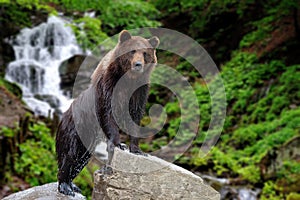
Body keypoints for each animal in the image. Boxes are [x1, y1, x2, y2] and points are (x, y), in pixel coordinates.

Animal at [56, 30, 159, 196]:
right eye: (132, 51)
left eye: (145, 53)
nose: (138, 65)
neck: (128, 80)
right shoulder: (108, 87)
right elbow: (107, 113)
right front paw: (119, 143)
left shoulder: (139, 92)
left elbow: (135, 117)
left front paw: (137, 149)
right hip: (74, 130)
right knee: (69, 155)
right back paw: (65, 186)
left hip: (88, 140)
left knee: (80, 159)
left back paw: (73, 185)